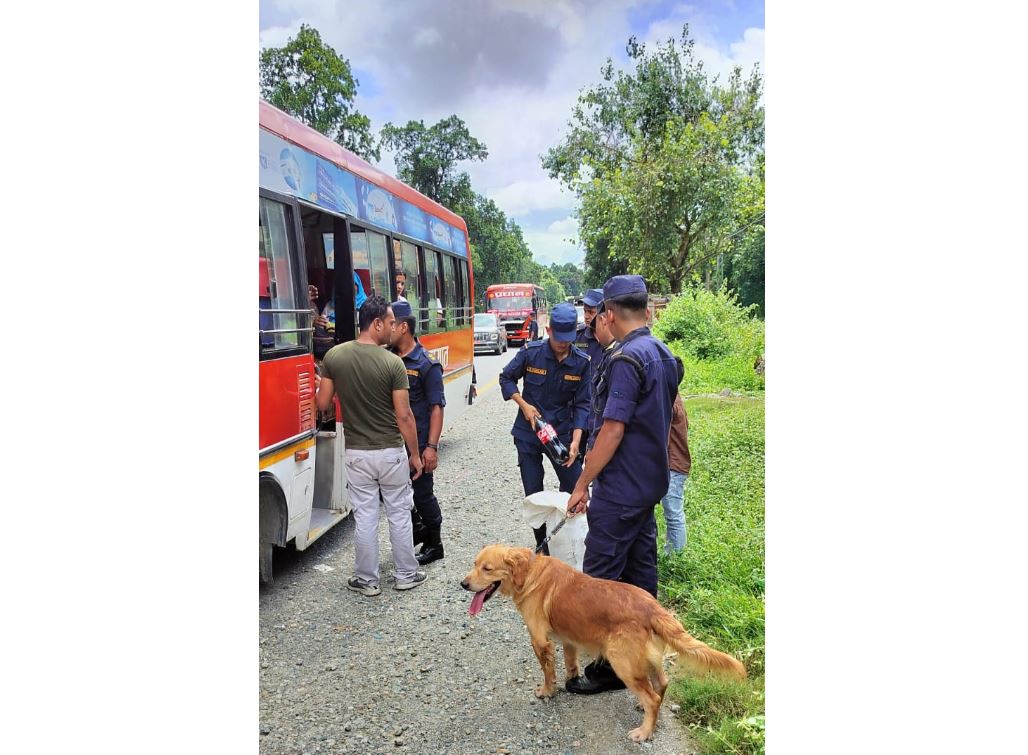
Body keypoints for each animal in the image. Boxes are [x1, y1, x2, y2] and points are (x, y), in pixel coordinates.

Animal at [462, 543, 744, 744]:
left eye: (487, 568)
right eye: (474, 564)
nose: (463, 584)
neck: (529, 572)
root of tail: (653, 607)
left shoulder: (540, 641)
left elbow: (548, 672)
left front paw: (547, 692)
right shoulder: (569, 640)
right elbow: (570, 664)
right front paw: (572, 681)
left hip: (622, 662)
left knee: (653, 696)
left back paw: (644, 731)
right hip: (647, 659)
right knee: (661, 685)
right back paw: (647, 714)